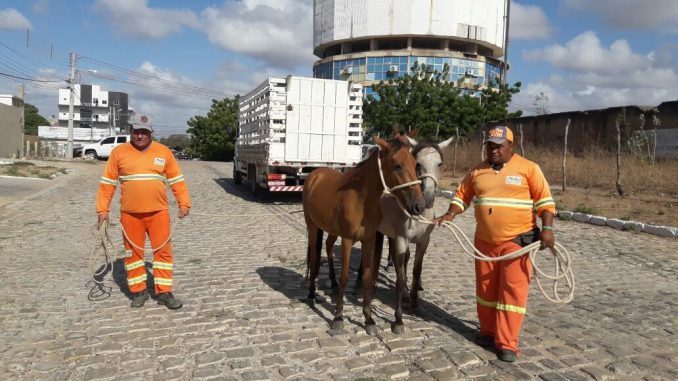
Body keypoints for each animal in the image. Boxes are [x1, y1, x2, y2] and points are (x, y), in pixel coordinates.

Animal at [302, 134, 424, 332]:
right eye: (397, 165)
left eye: (415, 164)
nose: (418, 206)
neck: (361, 200)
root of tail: (315, 174)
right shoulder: (347, 240)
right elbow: (345, 277)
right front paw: (338, 317)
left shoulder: (369, 240)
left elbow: (367, 276)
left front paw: (368, 319)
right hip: (312, 227)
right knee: (313, 259)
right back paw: (312, 294)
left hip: (331, 230)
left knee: (328, 247)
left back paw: (332, 283)